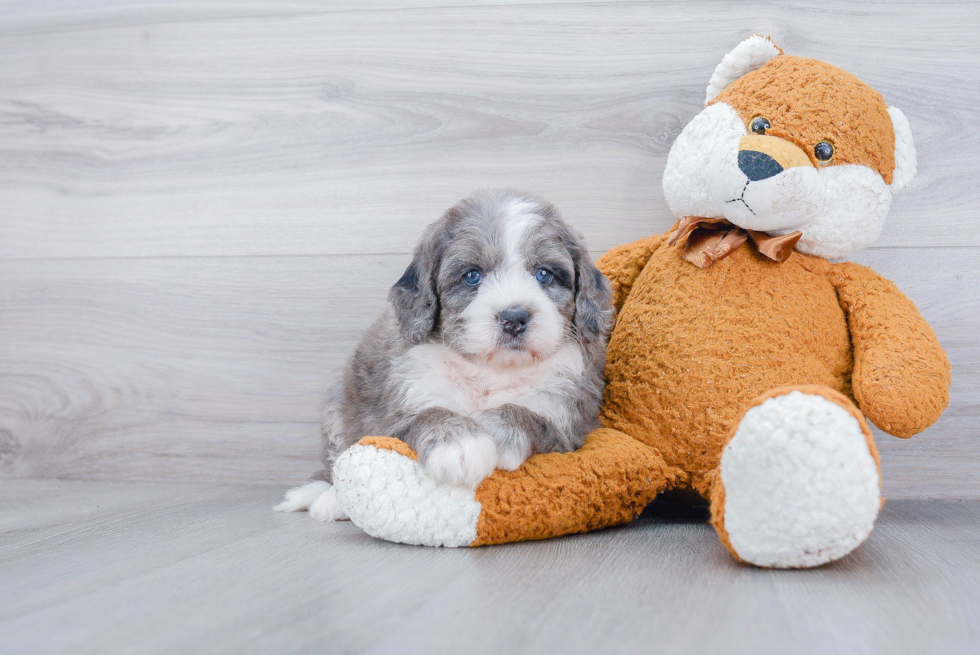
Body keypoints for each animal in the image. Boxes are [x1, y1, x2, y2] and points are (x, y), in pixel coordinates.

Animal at [276, 190, 612, 524]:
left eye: (544, 274)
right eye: (472, 276)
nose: (514, 318)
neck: (489, 372)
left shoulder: (571, 423)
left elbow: (533, 417)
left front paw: (493, 429)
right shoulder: (394, 411)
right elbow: (427, 415)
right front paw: (460, 443)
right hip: (337, 407)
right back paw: (326, 499)